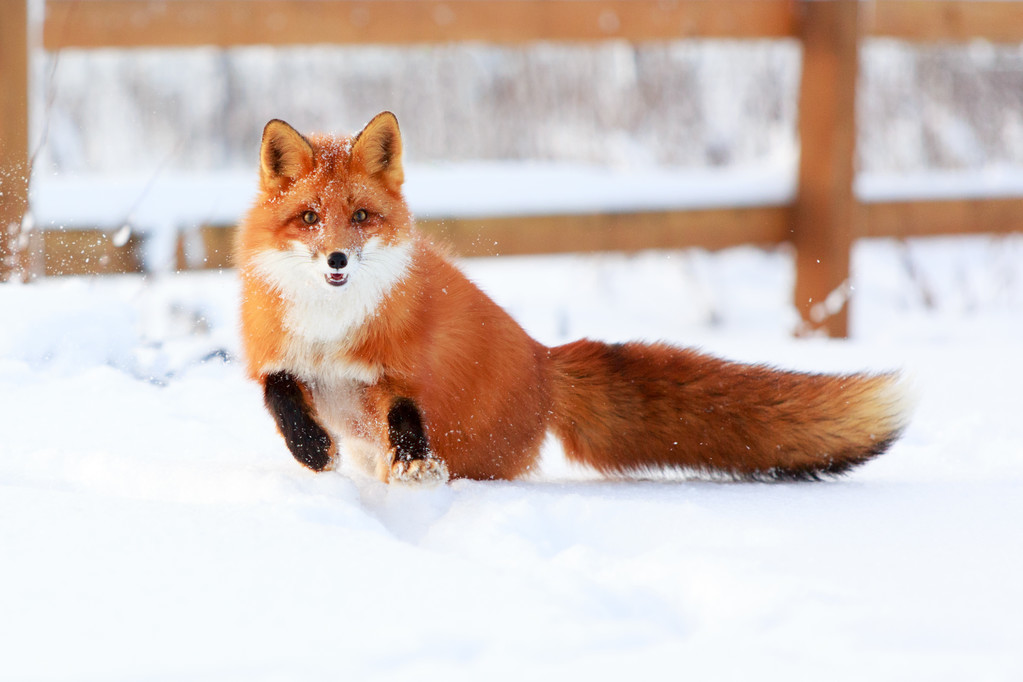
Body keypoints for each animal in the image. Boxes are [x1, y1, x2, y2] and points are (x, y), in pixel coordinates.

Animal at [235, 111, 908, 482]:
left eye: (361, 216)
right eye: (310, 217)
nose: (338, 260)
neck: (331, 328)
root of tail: (544, 359)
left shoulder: (394, 373)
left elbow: (404, 418)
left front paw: (411, 465)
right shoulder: (279, 357)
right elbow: (280, 394)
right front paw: (312, 449)